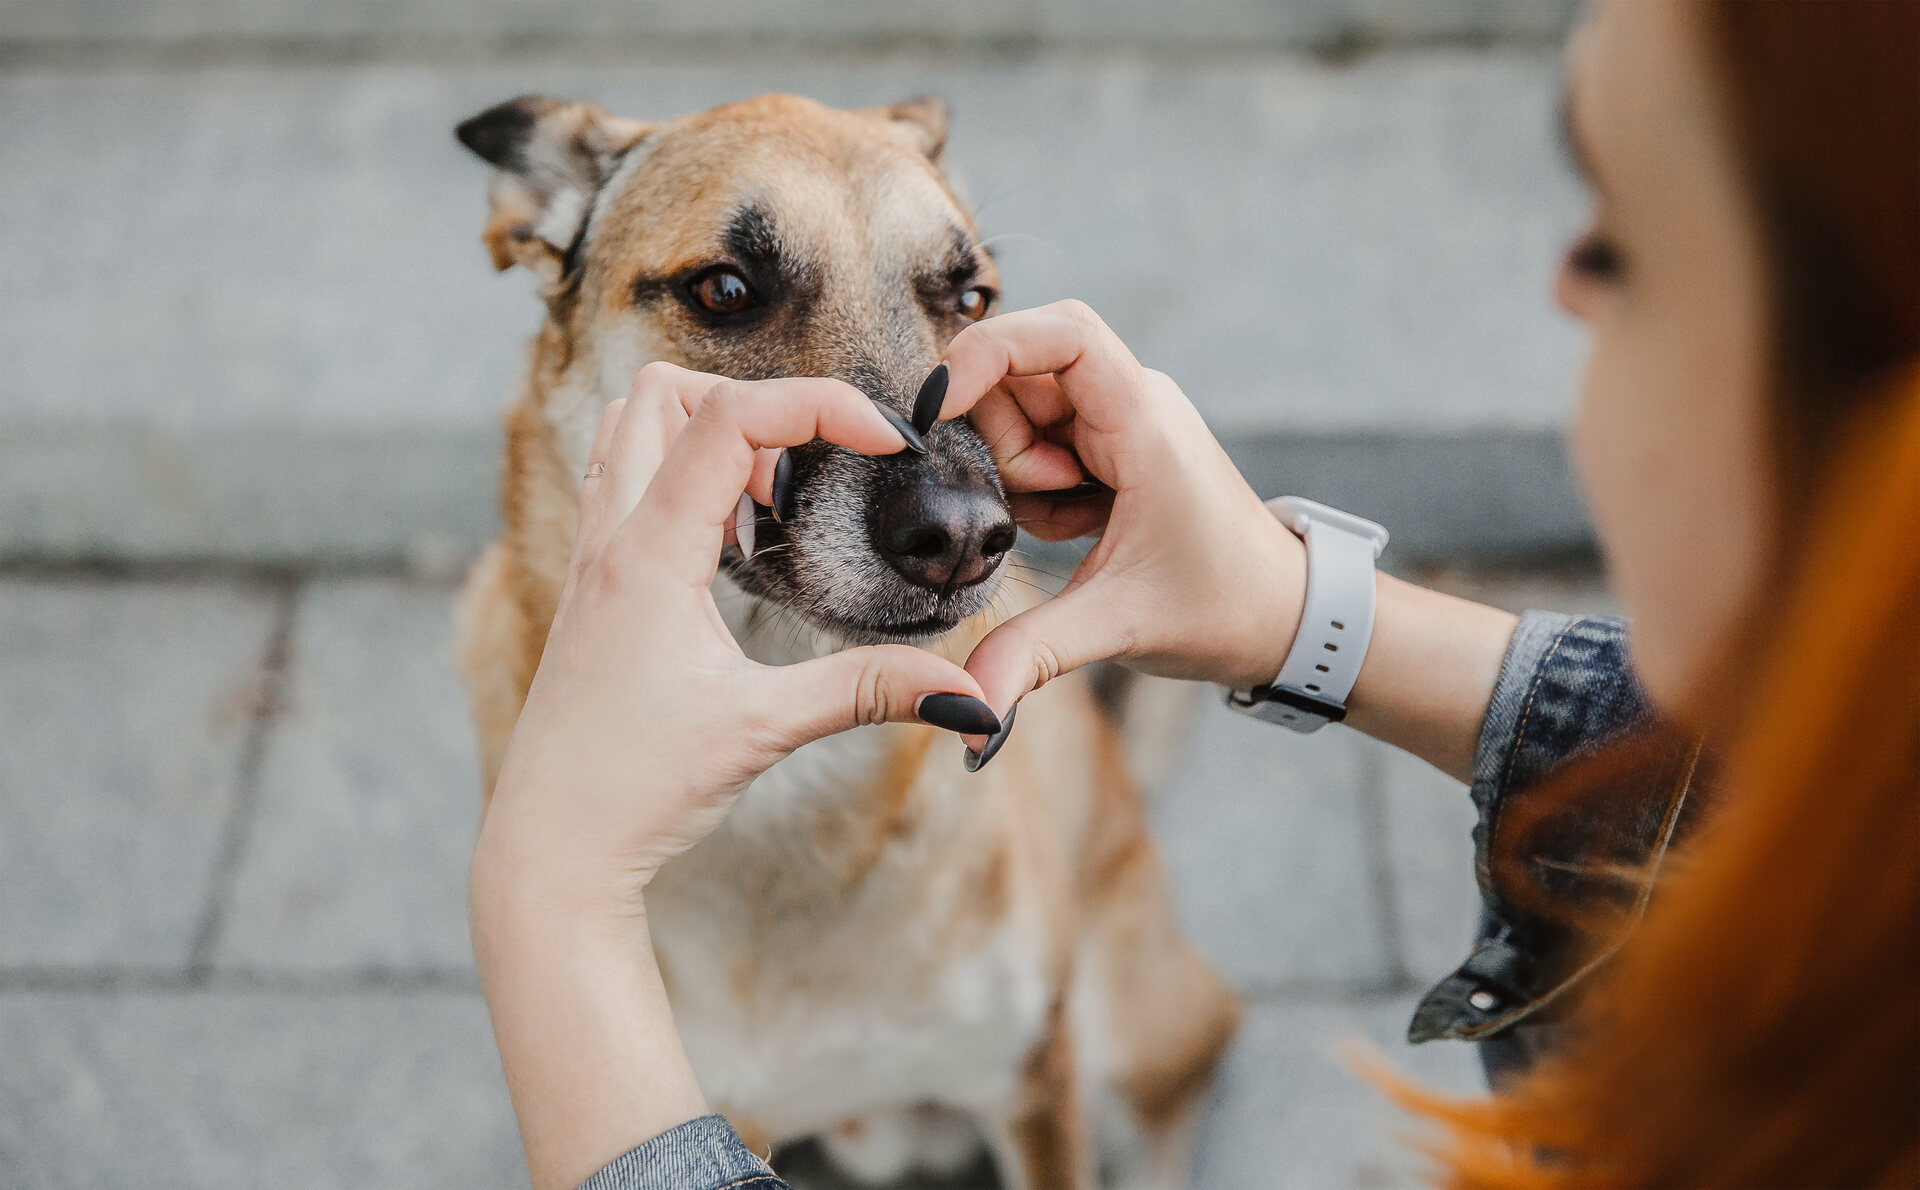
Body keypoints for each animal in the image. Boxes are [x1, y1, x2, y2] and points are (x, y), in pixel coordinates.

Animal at [449, 88, 1236, 1182]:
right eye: (726, 290)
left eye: (972, 301)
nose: (963, 538)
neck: (788, 789)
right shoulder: (734, 1109)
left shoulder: (1034, 1077)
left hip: (1127, 1039)